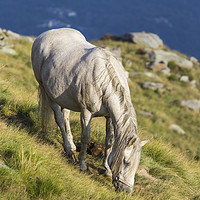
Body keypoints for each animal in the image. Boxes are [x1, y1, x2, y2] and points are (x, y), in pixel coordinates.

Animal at [30, 28, 147, 194]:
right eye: (125, 161)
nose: (126, 190)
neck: (103, 79)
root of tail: (43, 35)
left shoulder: (109, 117)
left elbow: (109, 141)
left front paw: (107, 169)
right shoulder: (86, 112)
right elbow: (86, 137)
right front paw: (82, 164)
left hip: (64, 96)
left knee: (65, 115)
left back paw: (71, 145)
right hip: (47, 91)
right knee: (59, 118)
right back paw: (68, 149)